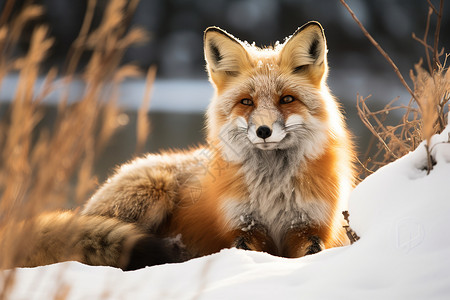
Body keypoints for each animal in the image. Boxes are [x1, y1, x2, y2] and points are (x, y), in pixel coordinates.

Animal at [3, 21, 356, 270]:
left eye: (286, 99)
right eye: (247, 102)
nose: (264, 130)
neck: (273, 192)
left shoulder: (309, 228)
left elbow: (313, 251)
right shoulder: (243, 229)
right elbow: (245, 248)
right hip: (152, 191)